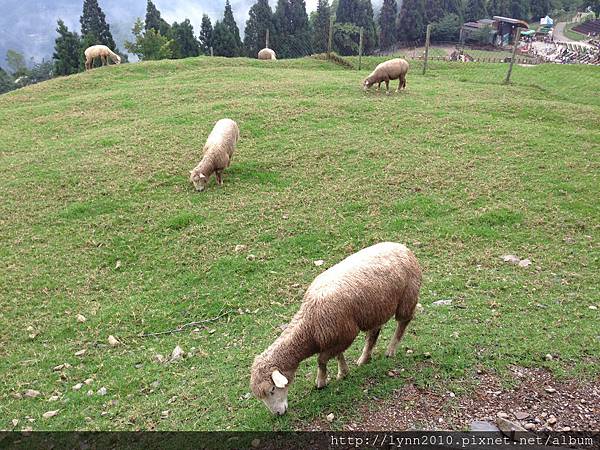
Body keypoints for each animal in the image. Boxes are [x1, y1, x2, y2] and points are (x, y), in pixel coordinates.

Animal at [251, 243, 424, 414]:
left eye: (272, 389)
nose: (278, 414)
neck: (309, 324)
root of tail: (402, 247)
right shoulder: (336, 336)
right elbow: (338, 355)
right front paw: (343, 372)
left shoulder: (346, 334)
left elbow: (321, 360)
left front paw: (321, 381)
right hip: (376, 310)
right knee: (373, 333)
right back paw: (364, 358)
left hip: (407, 296)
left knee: (403, 322)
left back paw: (391, 350)